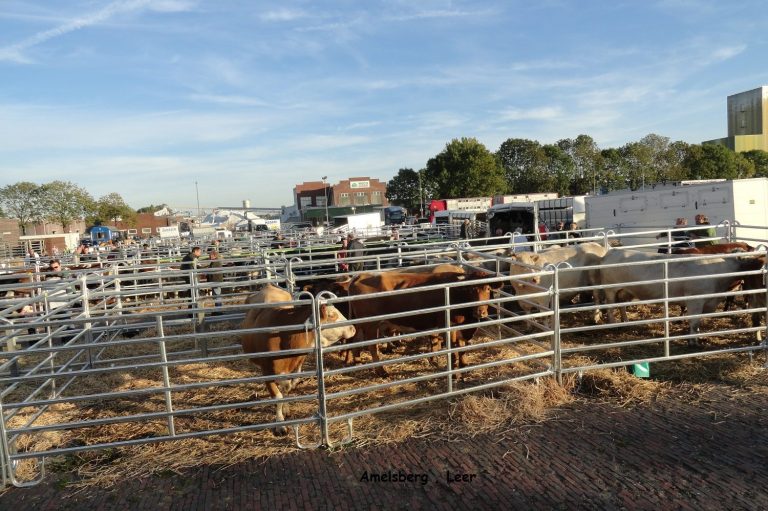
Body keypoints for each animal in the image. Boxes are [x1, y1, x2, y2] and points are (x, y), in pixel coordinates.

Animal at [240, 284, 356, 436]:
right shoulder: (267, 372)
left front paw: (286, 410)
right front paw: (280, 424)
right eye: (332, 315)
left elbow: (287, 388)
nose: (353, 328)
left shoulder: (297, 362)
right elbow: (278, 397)